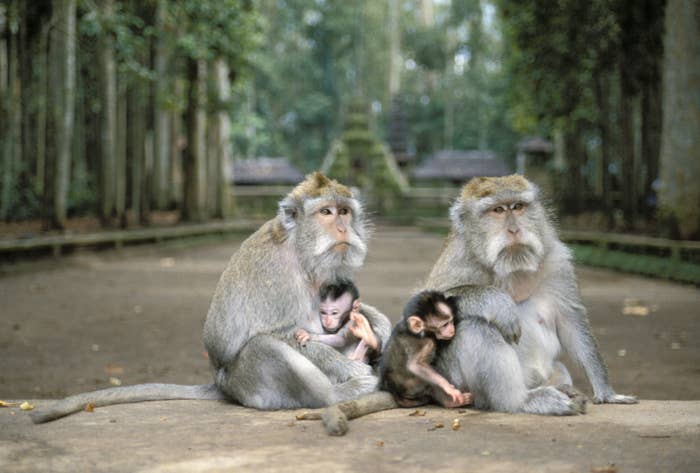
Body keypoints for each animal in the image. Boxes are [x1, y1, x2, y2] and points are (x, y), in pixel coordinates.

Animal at [29, 172, 392, 423]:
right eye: (326, 212)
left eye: (345, 211)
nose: (343, 228)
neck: (300, 250)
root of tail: (221, 383)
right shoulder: (276, 276)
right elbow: (284, 333)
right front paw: (352, 368)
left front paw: (380, 326)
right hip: (247, 384)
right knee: (265, 347)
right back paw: (339, 394)